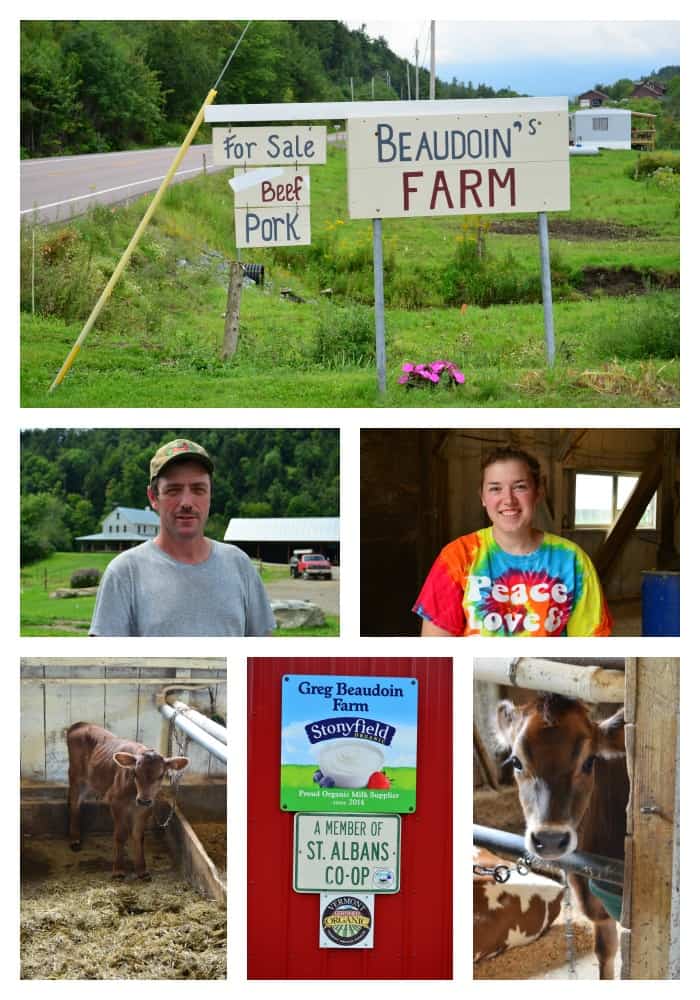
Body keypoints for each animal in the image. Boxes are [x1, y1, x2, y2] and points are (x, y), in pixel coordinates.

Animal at [66, 724, 189, 880]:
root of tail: (81, 724)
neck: (134, 793)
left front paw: (142, 869)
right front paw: (118, 869)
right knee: (74, 803)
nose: (143, 800)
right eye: (135, 773)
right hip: (75, 775)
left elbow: (138, 835)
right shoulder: (117, 803)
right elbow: (121, 835)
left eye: (161, 775)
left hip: (90, 780)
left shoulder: (146, 808)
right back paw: (75, 839)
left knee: (79, 800)